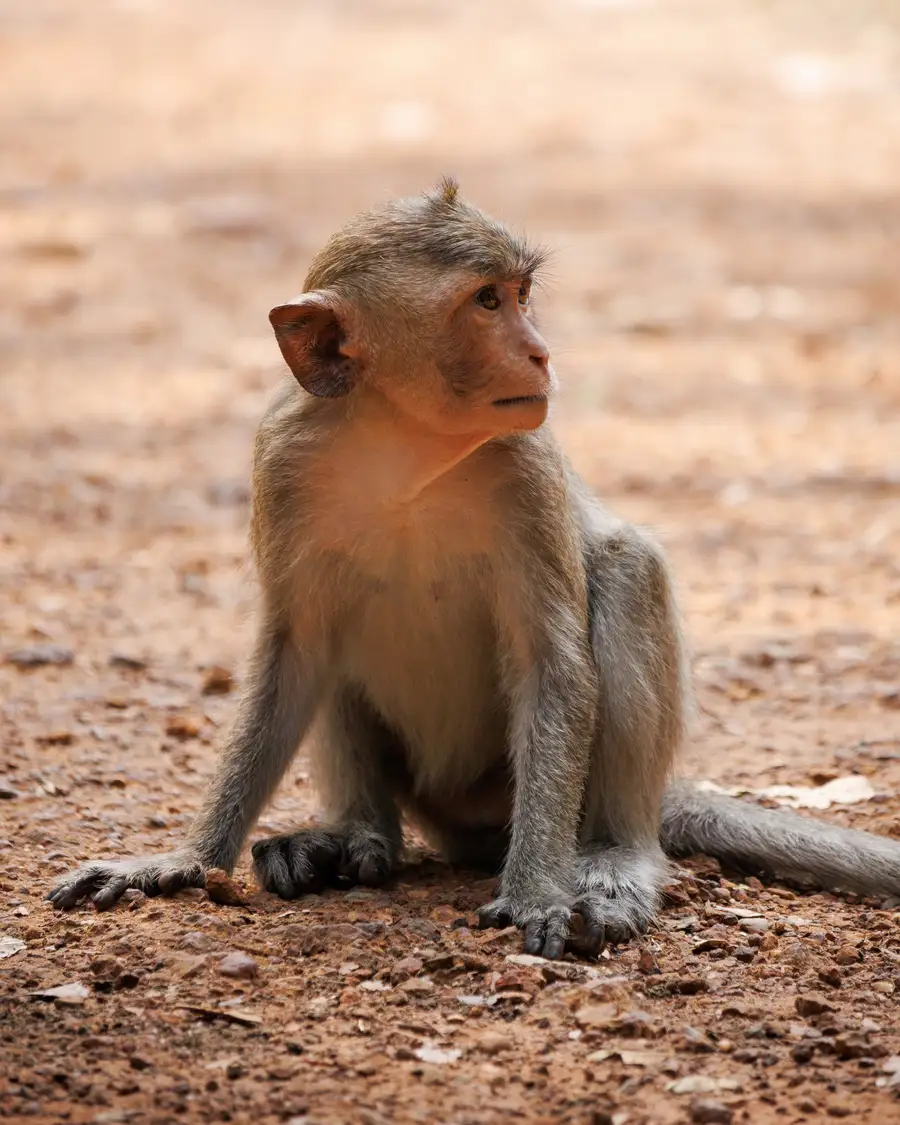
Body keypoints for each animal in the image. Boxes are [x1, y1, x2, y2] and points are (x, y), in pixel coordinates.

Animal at [48, 178, 900, 958]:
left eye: (519, 294)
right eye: (486, 300)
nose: (541, 352)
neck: (406, 447)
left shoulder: (527, 466)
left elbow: (551, 659)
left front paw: (534, 893)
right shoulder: (281, 460)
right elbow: (295, 654)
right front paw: (186, 860)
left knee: (629, 571)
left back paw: (613, 857)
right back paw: (355, 838)